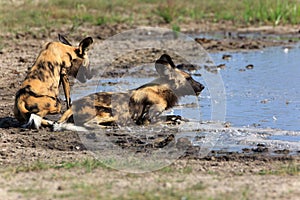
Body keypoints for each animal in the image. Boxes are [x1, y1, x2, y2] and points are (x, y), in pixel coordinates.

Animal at [54, 53, 204, 131]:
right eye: (188, 78)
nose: (202, 86)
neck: (162, 90)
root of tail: (72, 106)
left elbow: (177, 117)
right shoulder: (147, 119)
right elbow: (170, 120)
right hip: (108, 112)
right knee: (92, 124)